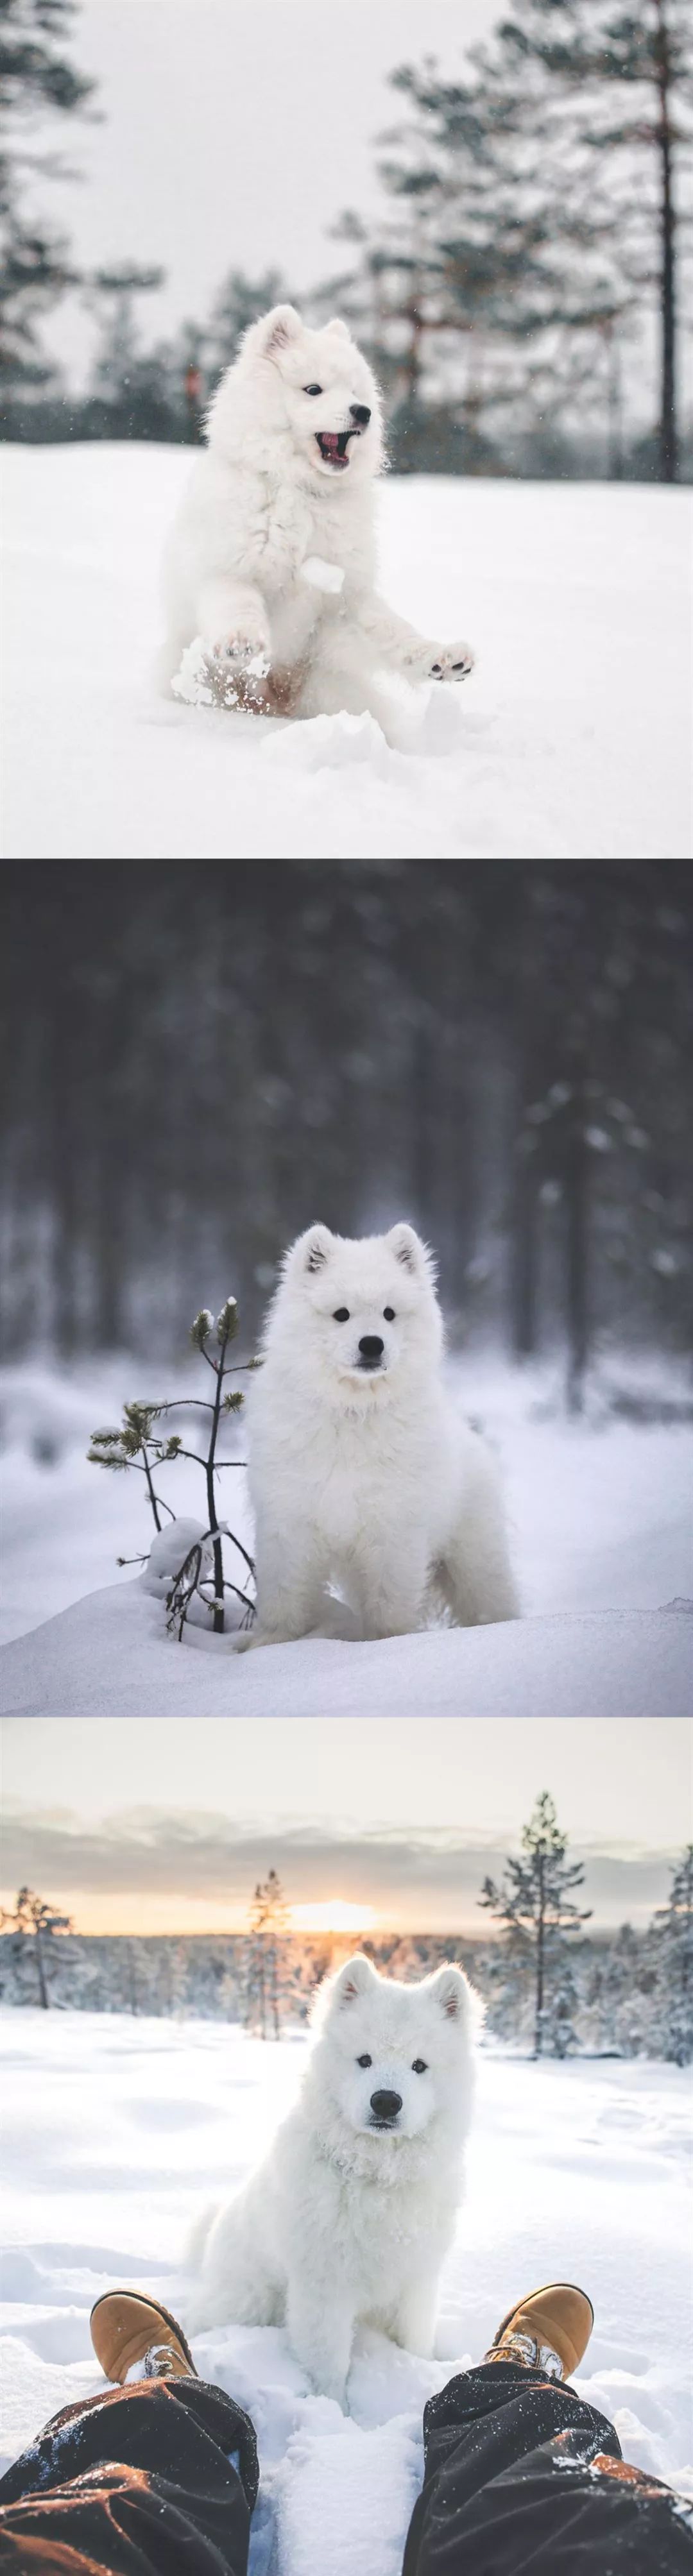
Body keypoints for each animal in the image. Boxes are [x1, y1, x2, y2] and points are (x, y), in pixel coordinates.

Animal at [158, 306, 471, 747]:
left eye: (357, 393)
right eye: (314, 390)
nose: (363, 412)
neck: (301, 490)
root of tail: (278, 704)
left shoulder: (345, 597)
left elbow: (393, 630)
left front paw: (439, 658)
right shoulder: (226, 568)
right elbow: (237, 602)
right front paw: (242, 642)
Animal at [183, 1958, 474, 2400]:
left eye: (419, 2066)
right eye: (365, 2060)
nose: (386, 2101)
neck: (376, 2177)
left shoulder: (417, 2280)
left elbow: (415, 2341)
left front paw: (419, 2373)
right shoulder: (324, 2289)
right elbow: (329, 2365)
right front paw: (334, 2410)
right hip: (250, 2300)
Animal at [234, 1221, 515, 1659]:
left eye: (389, 1314)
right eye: (342, 1315)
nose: (372, 1343)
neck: (353, 1410)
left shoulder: (393, 1531)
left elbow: (389, 1603)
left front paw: (387, 1647)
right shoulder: (289, 1523)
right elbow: (284, 1595)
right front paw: (272, 1645)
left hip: (474, 1561)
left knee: (491, 1600)